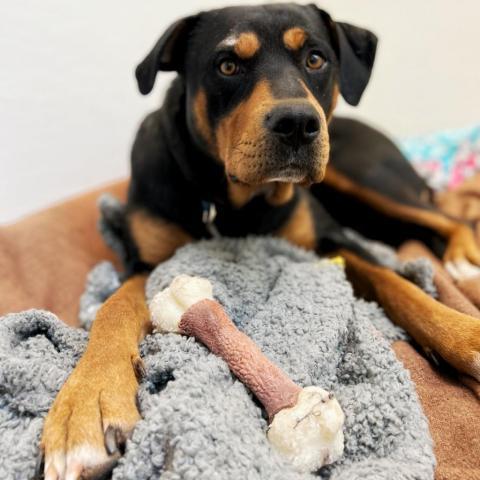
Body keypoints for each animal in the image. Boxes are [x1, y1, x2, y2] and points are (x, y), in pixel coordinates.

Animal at [40, 4, 480, 480]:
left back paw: (463, 260)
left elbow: (397, 285)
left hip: (363, 173)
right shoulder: (146, 263)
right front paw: (86, 406)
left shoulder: (331, 239)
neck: (234, 203)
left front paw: (466, 335)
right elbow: (113, 307)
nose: (298, 124)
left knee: (450, 215)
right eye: (227, 65)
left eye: (315, 59)